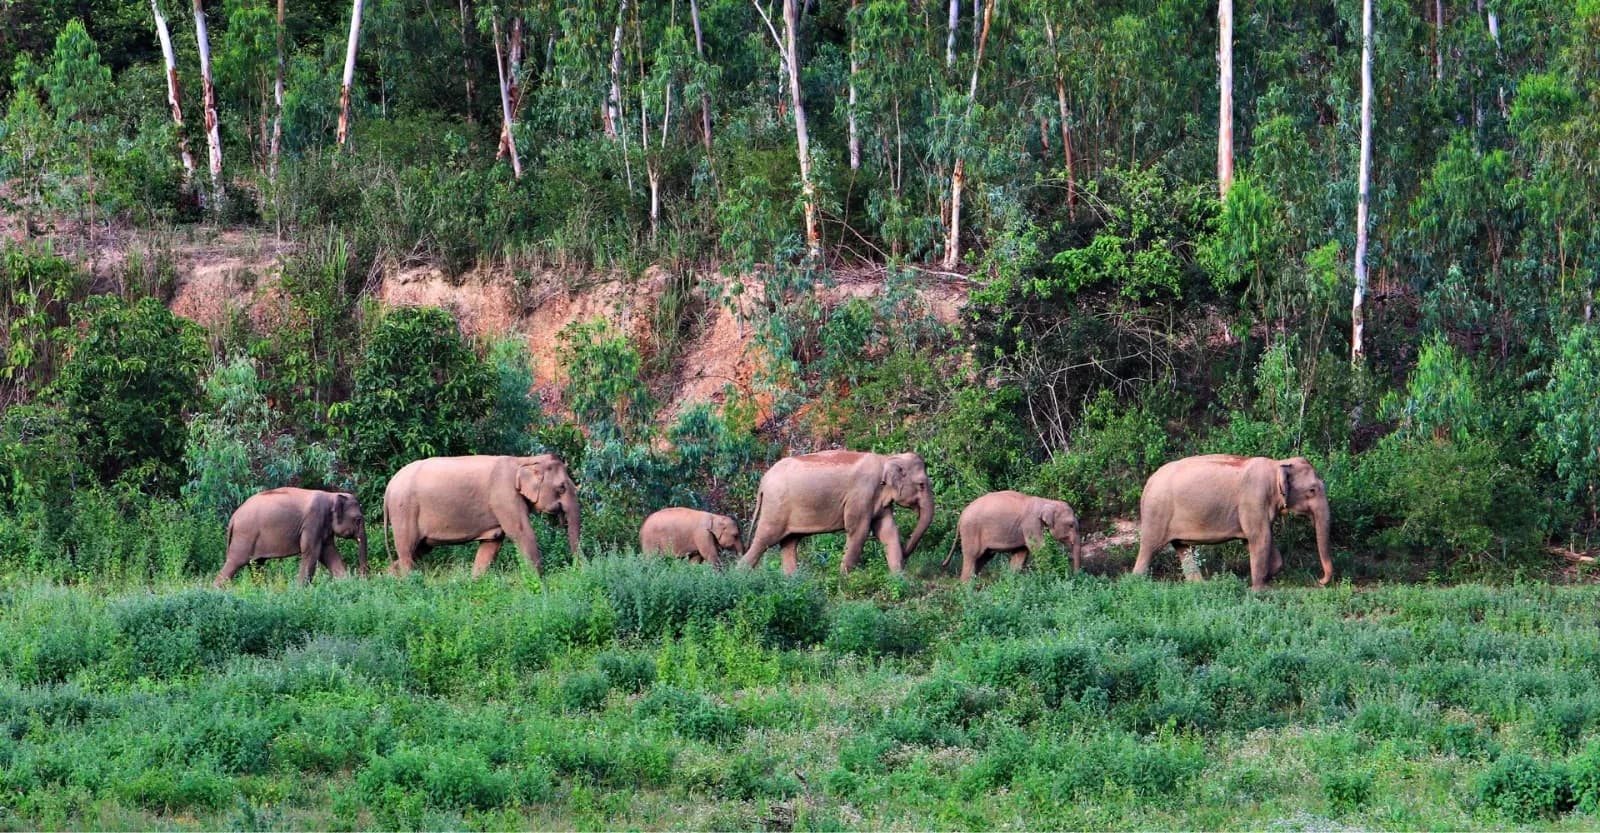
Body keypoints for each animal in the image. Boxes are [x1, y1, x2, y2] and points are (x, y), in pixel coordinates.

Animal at [214, 488, 369, 588]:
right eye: (358, 519)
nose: (363, 579)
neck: (332, 495)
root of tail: (233, 518)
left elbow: (328, 552)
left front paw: (346, 584)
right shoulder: (313, 521)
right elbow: (312, 552)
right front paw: (300, 590)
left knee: (257, 564)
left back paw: (262, 589)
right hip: (245, 536)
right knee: (235, 562)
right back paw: (217, 590)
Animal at [382, 454, 581, 578]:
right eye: (561, 487)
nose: (577, 571)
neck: (524, 460)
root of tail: (389, 487)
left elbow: (492, 543)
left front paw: (475, 581)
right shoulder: (504, 497)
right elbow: (522, 533)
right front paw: (540, 585)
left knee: (416, 551)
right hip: (404, 510)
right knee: (407, 550)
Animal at [738, 450, 934, 576]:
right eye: (922, 485)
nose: (906, 554)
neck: (886, 458)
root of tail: (763, 482)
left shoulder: (878, 499)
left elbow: (887, 530)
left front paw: (899, 578)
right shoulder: (861, 494)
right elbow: (858, 531)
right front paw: (844, 580)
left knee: (789, 543)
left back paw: (793, 582)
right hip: (775, 507)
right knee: (765, 539)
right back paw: (739, 578)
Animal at [942, 491, 1082, 582]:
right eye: (1071, 525)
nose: (1075, 576)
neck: (1047, 501)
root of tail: (961, 515)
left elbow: (1021, 553)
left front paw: (1012, 580)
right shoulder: (1031, 524)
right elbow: (1039, 548)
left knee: (984, 557)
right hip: (971, 530)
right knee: (972, 555)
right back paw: (966, 587)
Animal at [1132, 454, 1332, 590]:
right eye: (1312, 490)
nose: (1320, 580)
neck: (1277, 464)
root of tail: (1148, 483)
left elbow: (1258, 540)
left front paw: (1265, 578)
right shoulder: (1254, 499)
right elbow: (1260, 538)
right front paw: (1258, 590)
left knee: (1183, 548)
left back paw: (1201, 586)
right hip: (1156, 513)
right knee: (1149, 548)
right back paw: (1137, 583)